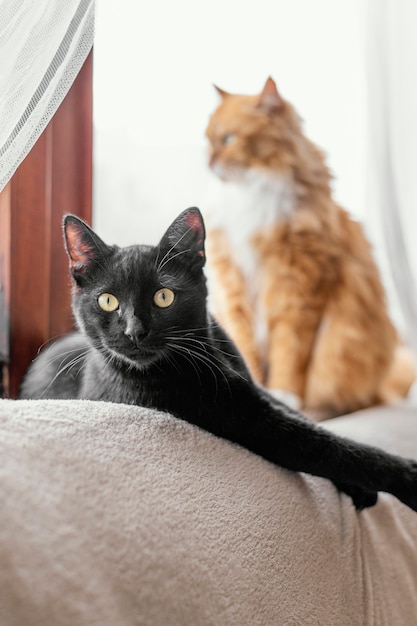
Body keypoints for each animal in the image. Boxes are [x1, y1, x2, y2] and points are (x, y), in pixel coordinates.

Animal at [20, 207, 417, 510]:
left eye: (164, 296)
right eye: (107, 301)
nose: (135, 331)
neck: (208, 353)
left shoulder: (256, 391)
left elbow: (311, 423)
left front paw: (361, 489)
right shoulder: (245, 418)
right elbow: (328, 447)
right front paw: (406, 476)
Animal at [204, 78, 412, 416]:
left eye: (229, 139)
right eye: (207, 141)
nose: (209, 162)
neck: (250, 193)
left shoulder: (299, 287)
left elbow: (290, 351)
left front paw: (284, 395)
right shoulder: (233, 283)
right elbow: (244, 344)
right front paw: (255, 385)